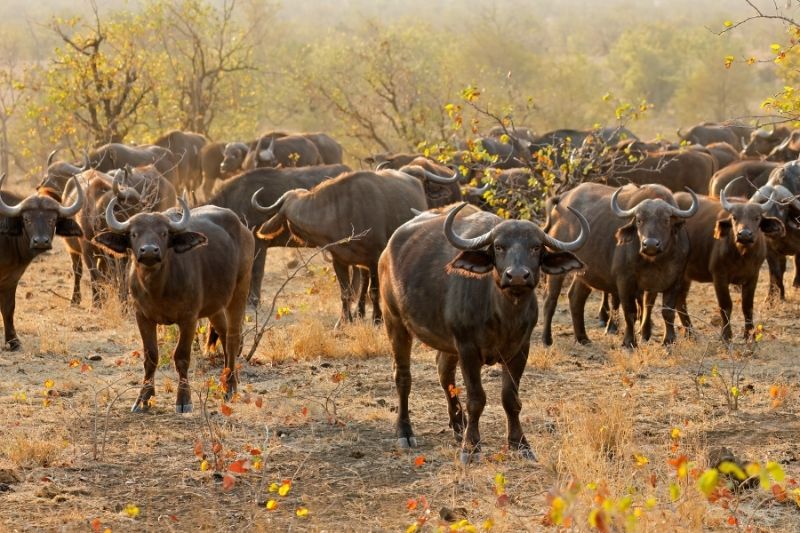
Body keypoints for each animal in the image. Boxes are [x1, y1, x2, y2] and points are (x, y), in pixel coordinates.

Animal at [379, 202, 588, 461]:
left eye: (535, 246)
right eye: (498, 246)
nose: (516, 276)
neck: (503, 315)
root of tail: (388, 251)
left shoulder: (520, 350)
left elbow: (511, 399)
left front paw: (520, 444)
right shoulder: (468, 349)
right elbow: (476, 399)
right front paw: (471, 447)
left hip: (447, 342)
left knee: (444, 372)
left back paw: (458, 426)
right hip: (394, 320)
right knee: (402, 376)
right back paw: (405, 432)